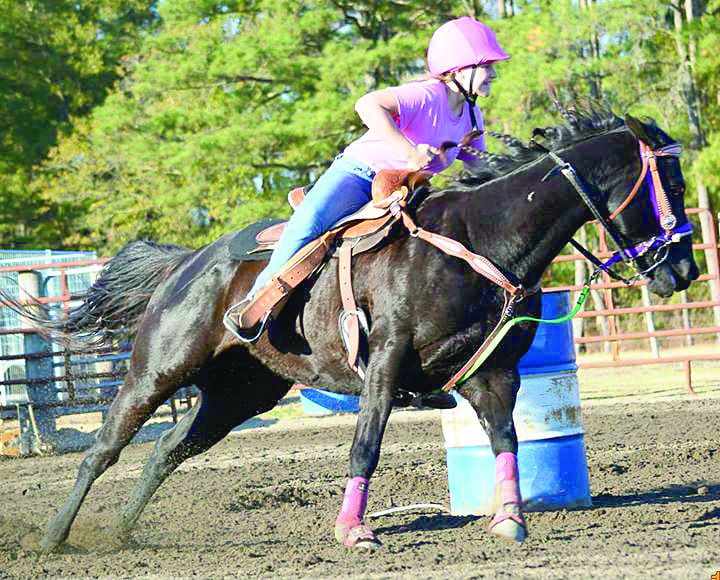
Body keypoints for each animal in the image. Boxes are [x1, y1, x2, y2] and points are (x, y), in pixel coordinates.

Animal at [25, 105, 696, 552]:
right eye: (670, 183)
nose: (685, 270)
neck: (480, 242)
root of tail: (186, 262)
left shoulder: (493, 373)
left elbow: (506, 438)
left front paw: (510, 519)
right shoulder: (384, 364)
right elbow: (365, 446)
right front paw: (354, 532)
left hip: (242, 391)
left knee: (168, 448)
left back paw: (119, 534)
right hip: (159, 369)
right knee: (105, 448)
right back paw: (53, 538)